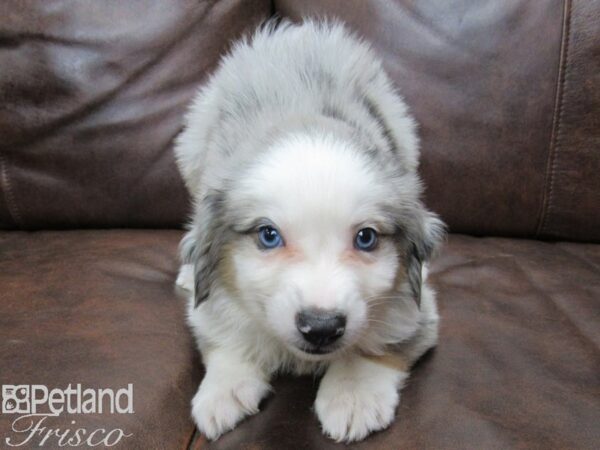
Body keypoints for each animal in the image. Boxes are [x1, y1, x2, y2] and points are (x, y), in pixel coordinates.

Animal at [173, 19, 446, 442]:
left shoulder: (416, 314)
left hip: (404, 134)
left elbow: (377, 346)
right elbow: (224, 336)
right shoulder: (213, 308)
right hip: (191, 151)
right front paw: (224, 391)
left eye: (366, 238)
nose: (321, 327)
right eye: (269, 236)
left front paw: (353, 396)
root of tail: (293, 32)